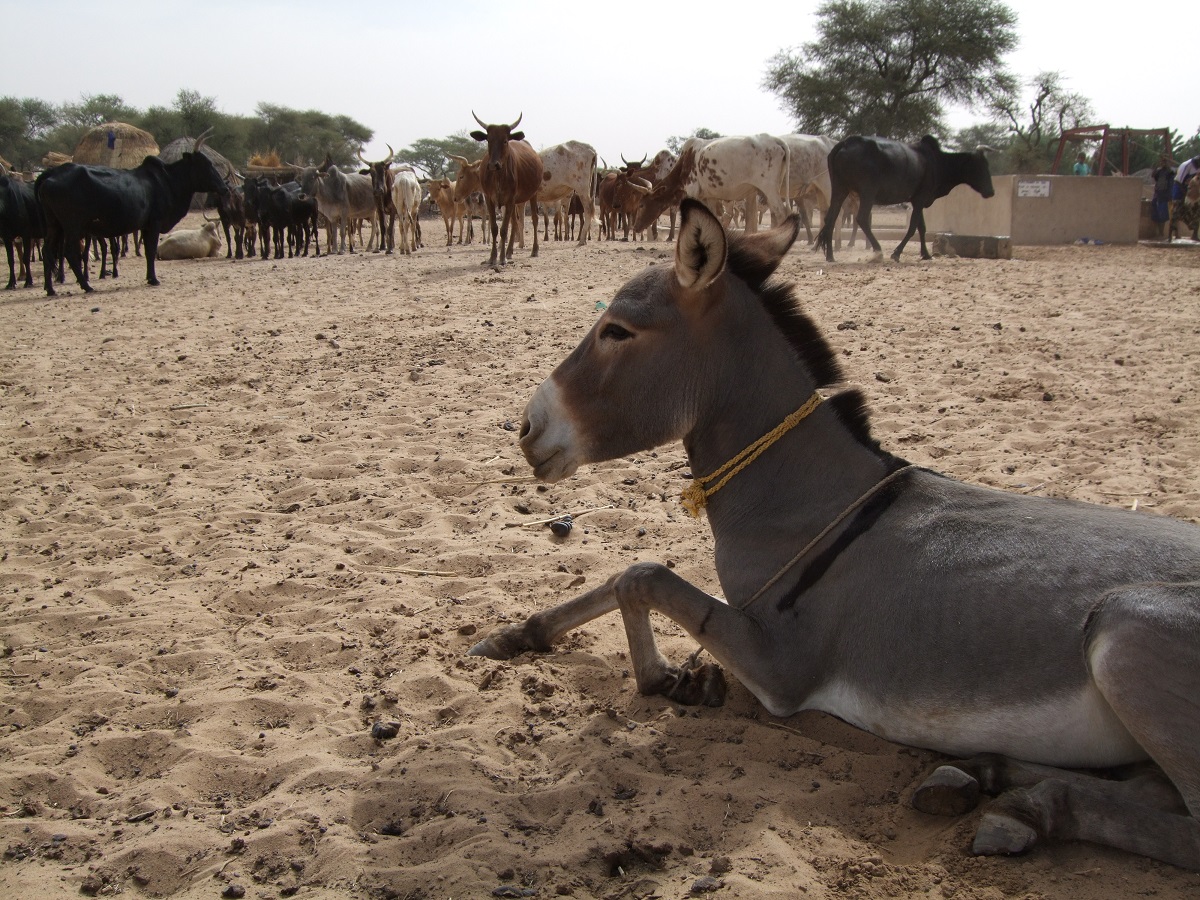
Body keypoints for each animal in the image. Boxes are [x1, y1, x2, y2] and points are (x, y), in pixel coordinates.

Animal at [35, 129, 226, 296]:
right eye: (205, 164)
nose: (223, 186)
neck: (168, 180)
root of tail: (51, 174)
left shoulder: (146, 226)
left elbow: (148, 251)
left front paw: (149, 277)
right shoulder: (154, 223)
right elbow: (150, 250)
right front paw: (153, 279)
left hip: (55, 226)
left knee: (47, 251)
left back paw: (50, 289)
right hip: (72, 226)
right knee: (69, 252)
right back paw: (86, 285)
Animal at [468, 109, 544, 264]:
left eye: (504, 140)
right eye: (489, 140)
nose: (493, 164)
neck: (498, 176)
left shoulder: (509, 199)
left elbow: (503, 229)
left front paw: (501, 258)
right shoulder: (489, 199)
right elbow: (495, 228)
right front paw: (492, 257)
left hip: (533, 194)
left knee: (534, 219)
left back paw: (534, 250)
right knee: (514, 223)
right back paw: (509, 252)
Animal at [816, 133, 993, 262]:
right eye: (981, 166)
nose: (991, 191)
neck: (937, 162)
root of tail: (845, 143)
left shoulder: (916, 201)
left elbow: (922, 227)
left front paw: (926, 254)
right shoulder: (920, 198)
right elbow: (913, 227)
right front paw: (896, 253)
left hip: (839, 190)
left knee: (831, 218)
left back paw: (830, 256)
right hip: (867, 192)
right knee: (862, 219)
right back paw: (878, 251)